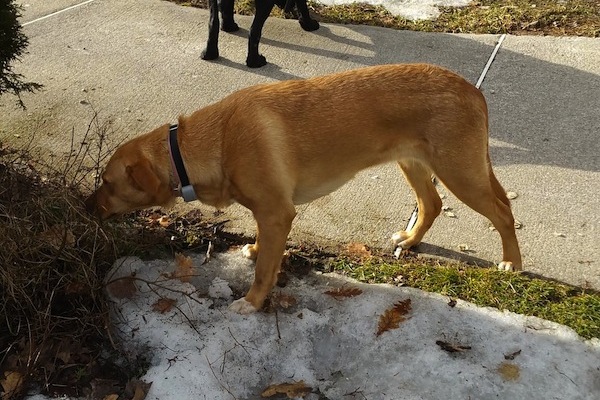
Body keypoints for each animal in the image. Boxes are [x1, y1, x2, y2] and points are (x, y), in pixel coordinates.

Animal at [86, 64, 524, 314]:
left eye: (106, 182)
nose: (87, 205)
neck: (216, 141)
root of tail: (473, 89)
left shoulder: (277, 212)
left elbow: (265, 271)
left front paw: (252, 303)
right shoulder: (269, 213)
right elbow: (263, 247)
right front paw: (256, 249)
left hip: (460, 173)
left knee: (503, 212)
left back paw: (512, 265)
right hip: (414, 164)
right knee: (431, 204)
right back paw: (411, 239)